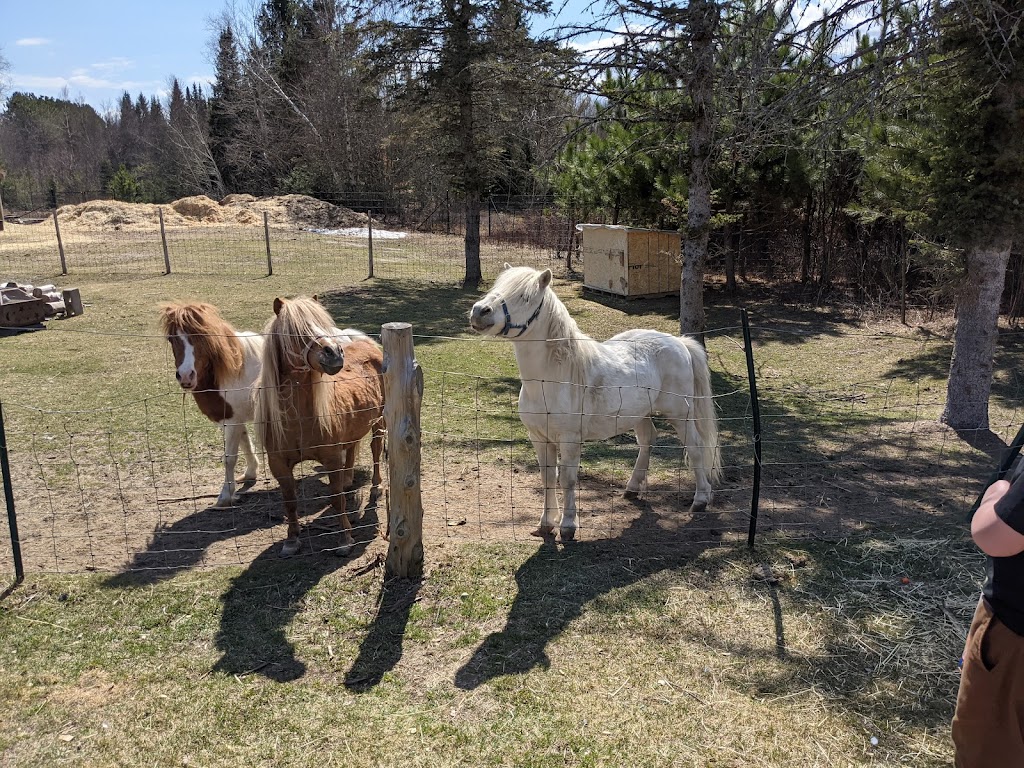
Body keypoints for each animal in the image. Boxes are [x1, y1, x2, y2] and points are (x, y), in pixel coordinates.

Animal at [158, 303, 264, 512]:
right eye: (171, 339)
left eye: (201, 337)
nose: (186, 376)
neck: (234, 369)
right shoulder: (233, 418)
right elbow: (245, 443)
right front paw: (250, 473)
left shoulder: (232, 421)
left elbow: (229, 458)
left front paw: (225, 496)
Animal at [253, 296, 385, 561]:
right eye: (295, 331)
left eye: (322, 324)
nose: (334, 353)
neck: (299, 421)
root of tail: (367, 344)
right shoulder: (279, 464)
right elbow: (290, 501)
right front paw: (292, 541)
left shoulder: (331, 458)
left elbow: (336, 499)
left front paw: (345, 540)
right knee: (352, 448)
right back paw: (348, 480)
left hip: (379, 422)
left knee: (376, 450)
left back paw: (376, 487)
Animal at [468, 268, 724, 544]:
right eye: (497, 286)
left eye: (525, 296)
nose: (479, 311)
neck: (551, 379)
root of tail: (679, 342)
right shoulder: (538, 437)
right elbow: (547, 477)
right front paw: (546, 523)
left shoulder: (570, 439)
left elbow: (567, 480)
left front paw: (568, 526)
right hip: (640, 414)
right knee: (647, 441)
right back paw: (632, 488)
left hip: (680, 414)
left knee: (695, 448)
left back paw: (700, 500)